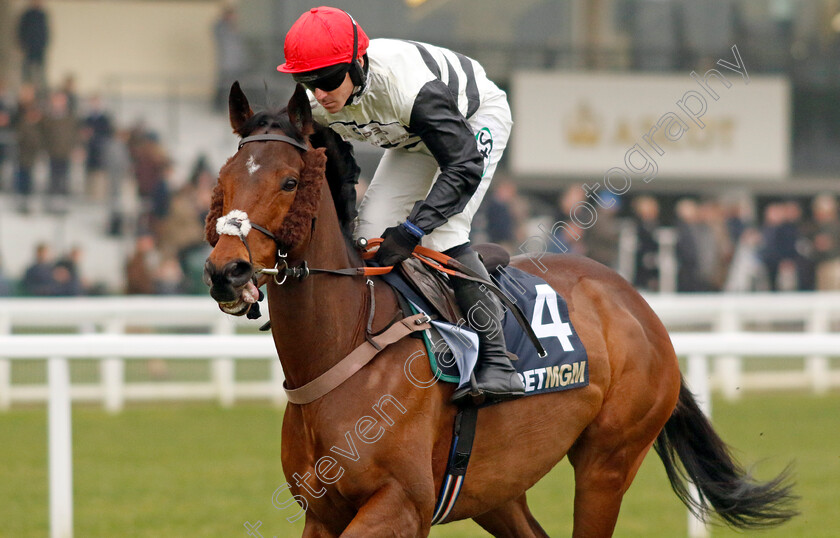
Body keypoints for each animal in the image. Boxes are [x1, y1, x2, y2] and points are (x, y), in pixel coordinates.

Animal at [202, 81, 796, 532]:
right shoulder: (323, 512)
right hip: (497, 486)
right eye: (222, 182)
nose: (225, 271)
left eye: (289, 181)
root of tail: (635, 303)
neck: (346, 346)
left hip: (609, 461)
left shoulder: (401, 504)